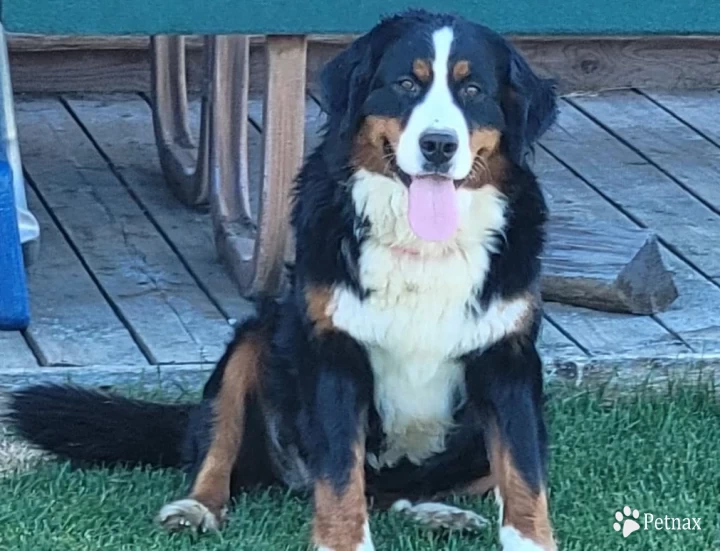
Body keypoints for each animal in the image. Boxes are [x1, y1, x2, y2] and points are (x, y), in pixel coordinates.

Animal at [4, 8, 556, 551]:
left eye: (473, 90)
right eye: (405, 83)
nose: (438, 145)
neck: (422, 246)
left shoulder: (509, 362)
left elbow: (523, 474)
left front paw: (530, 540)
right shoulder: (334, 355)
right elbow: (339, 477)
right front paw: (342, 544)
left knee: (399, 492)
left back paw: (439, 514)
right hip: (254, 338)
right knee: (218, 445)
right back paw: (196, 508)